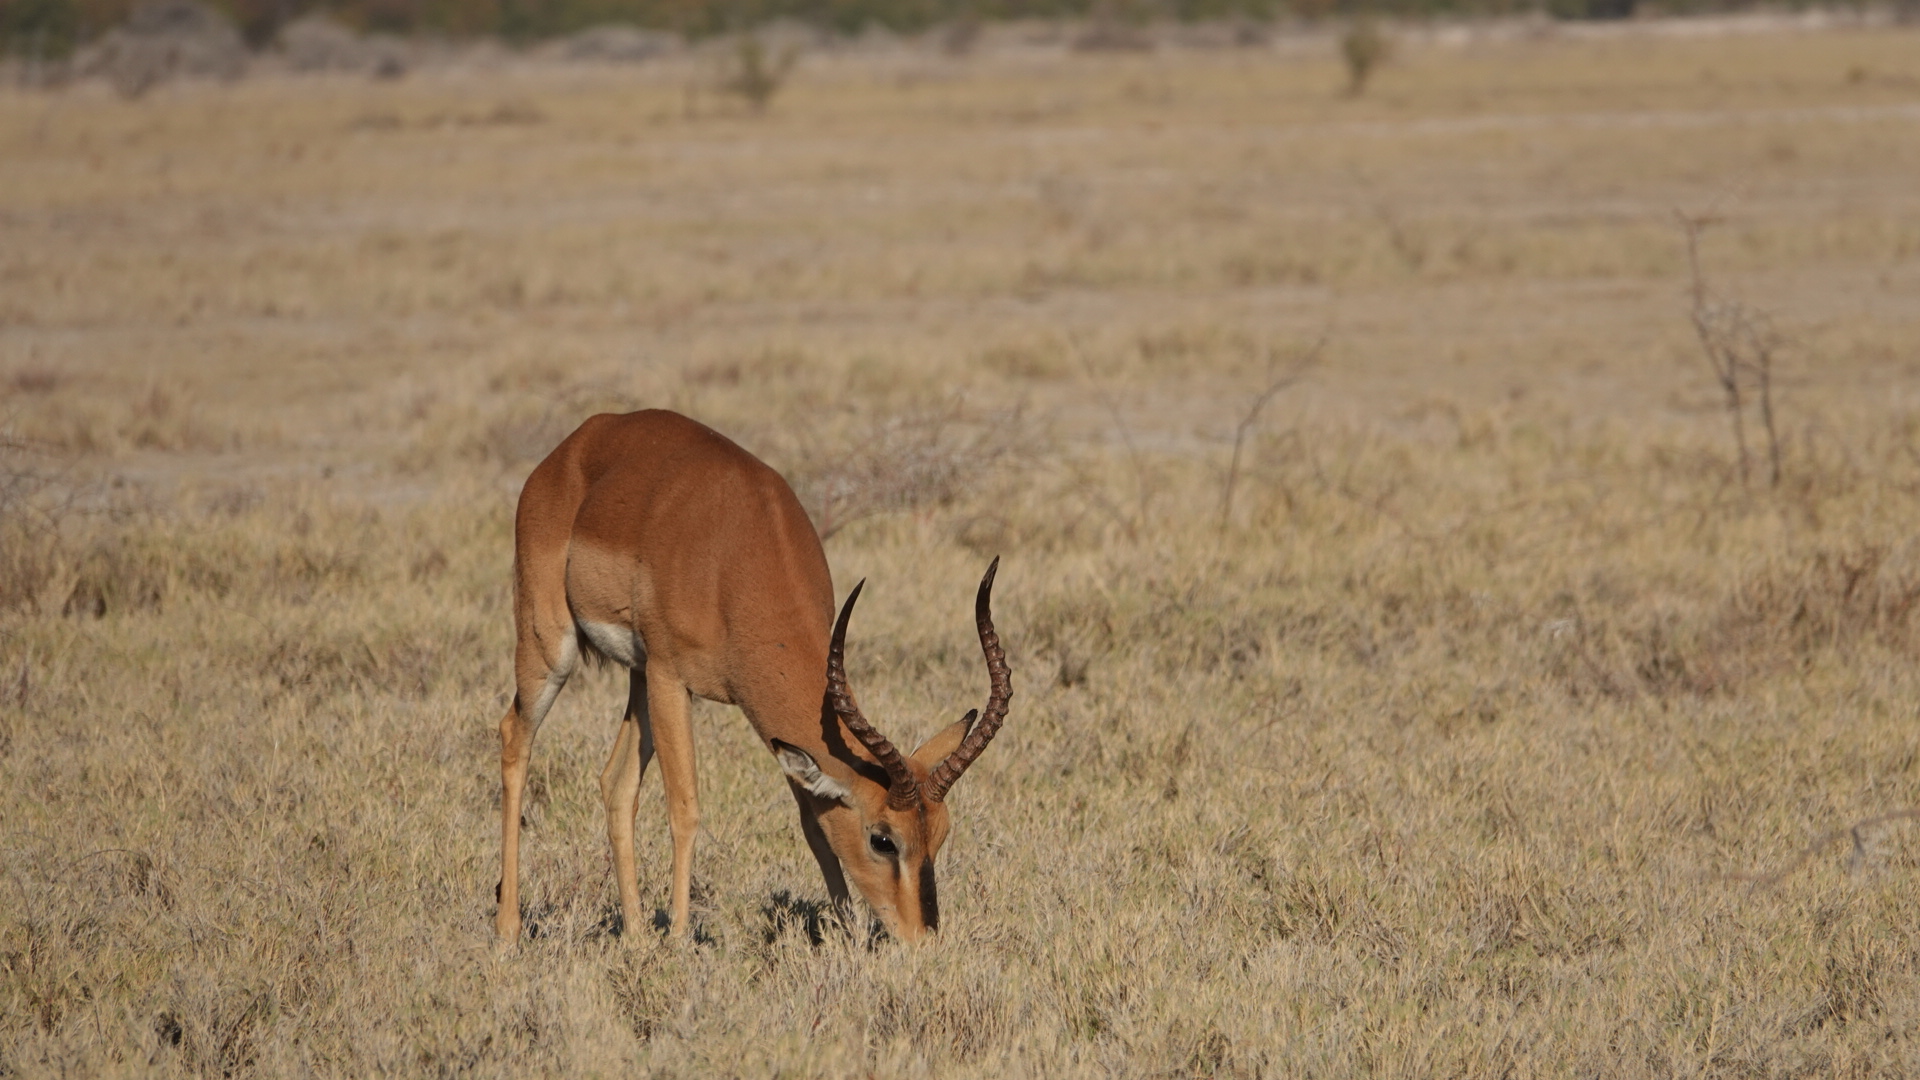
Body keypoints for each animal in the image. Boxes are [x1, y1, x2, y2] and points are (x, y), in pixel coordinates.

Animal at [491, 409, 1006, 941]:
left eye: (941, 832)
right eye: (882, 839)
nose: (922, 937)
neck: (734, 557)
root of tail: (576, 442)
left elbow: (812, 823)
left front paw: (844, 933)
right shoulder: (671, 677)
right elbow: (685, 808)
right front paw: (679, 938)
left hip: (636, 678)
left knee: (616, 783)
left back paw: (634, 935)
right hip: (552, 647)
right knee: (514, 736)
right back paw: (509, 928)